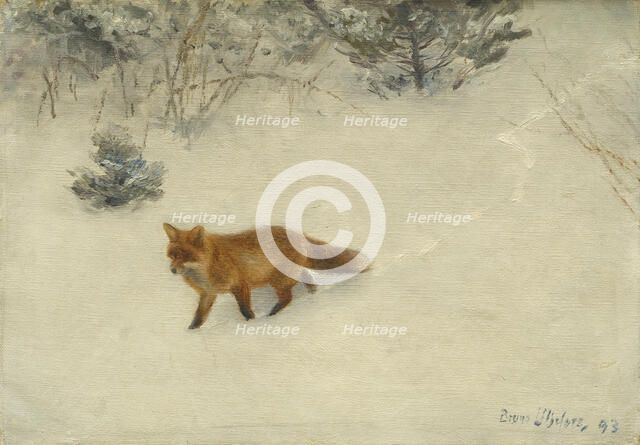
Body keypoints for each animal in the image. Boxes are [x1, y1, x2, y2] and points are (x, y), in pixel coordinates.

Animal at [163, 223, 367, 329]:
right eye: (172, 256)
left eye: (185, 256)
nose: (172, 270)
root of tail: (296, 232)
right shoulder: (208, 294)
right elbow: (199, 317)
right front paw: (191, 332)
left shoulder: (240, 285)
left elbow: (245, 310)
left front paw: (252, 324)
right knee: (307, 279)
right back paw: (311, 295)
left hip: (278, 281)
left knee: (287, 298)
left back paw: (271, 316)